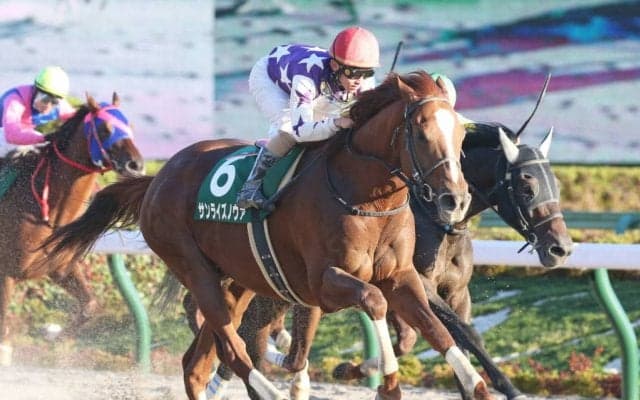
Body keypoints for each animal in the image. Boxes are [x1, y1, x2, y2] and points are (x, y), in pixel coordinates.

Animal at [0, 93, 144, 366]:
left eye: (129, 125)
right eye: (105, 128)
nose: (136, 165)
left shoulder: (61, 268)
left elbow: (90, 306)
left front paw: (54, 337)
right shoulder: (7, 272)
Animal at [40, 71, 499, 400]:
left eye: (461, 135)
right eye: (420, 132)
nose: (454, 200)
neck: (364, 195)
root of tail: (158, 177)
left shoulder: (402, 275)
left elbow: (437, 329)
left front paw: (476, 384)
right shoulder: (324, 283)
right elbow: (375, 302)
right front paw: (387, 385)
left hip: (238, 282)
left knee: (196, 365)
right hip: (193, 268)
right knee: (233, 351)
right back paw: (270, 393)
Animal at [198, 122, 573, 400]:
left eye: (556, 184)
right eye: (526, 188)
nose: (561, 247)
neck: (435, 217)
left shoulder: (454, 290)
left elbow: (434, 336)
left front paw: (357, 368)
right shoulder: (419, 282)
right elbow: (461, 333)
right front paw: (509, 388)